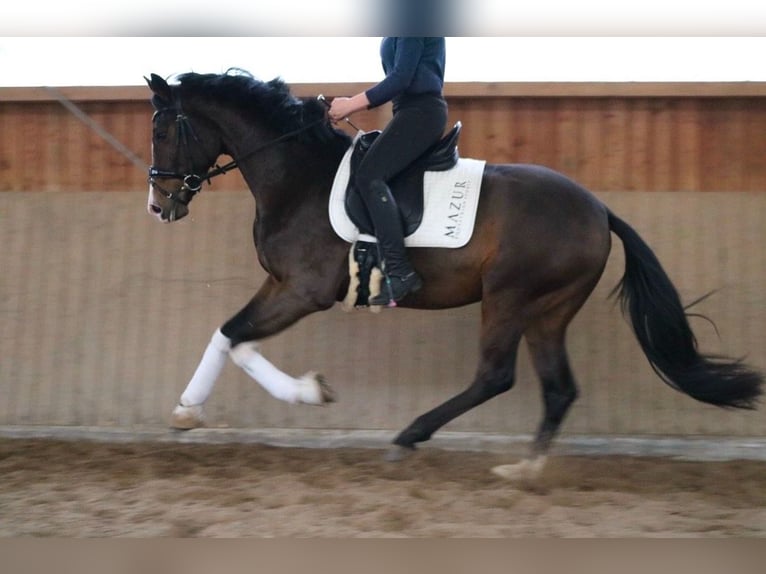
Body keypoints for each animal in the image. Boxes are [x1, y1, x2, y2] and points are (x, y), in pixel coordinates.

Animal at [144, 68, 760, 482]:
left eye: (163, 132)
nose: (159, 205)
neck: (299, 178)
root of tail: (600, 210)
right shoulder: (280, 285)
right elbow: (231, 337)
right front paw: (194, 409)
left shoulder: (304, 291)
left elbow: (236, 336)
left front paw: (291, 394)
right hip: (549, 309)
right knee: (558, 387)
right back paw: (525, 468)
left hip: (509, 296)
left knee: (495, 376)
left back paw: (409, 438)